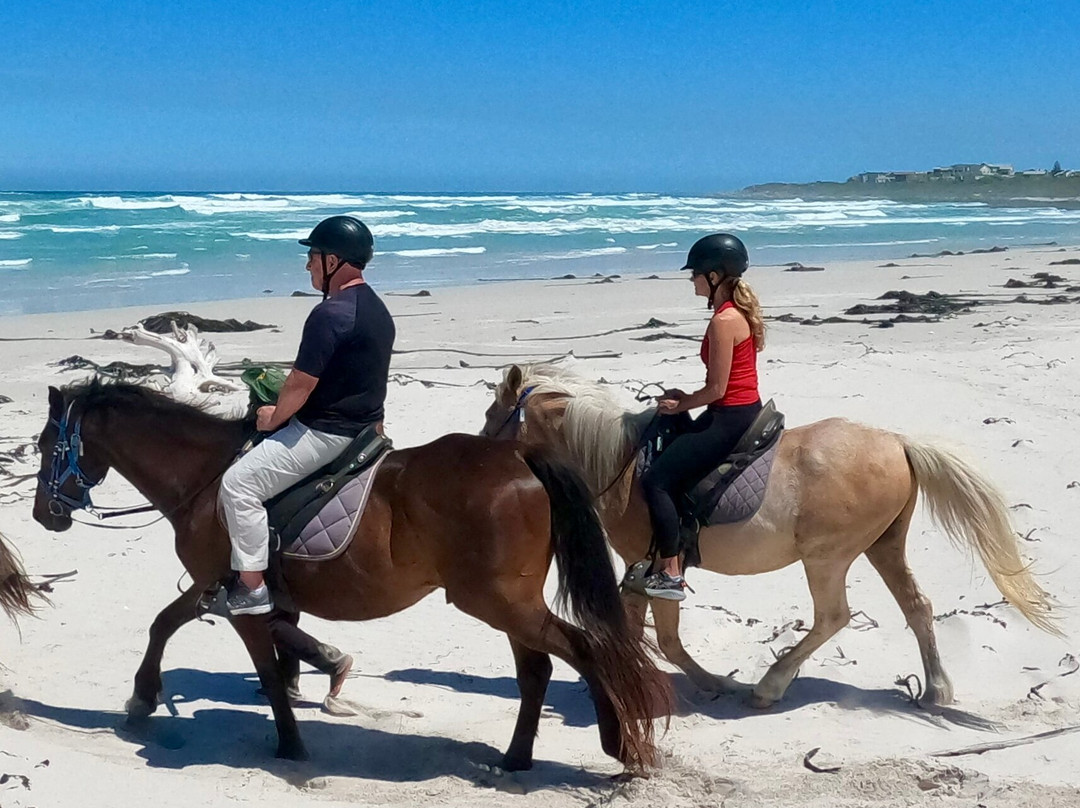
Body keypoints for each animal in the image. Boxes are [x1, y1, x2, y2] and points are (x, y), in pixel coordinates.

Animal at [32, 378, 670, 772]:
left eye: (43, 446)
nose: (44, 515)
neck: (208, 477)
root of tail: (519, 456)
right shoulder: (232, 590)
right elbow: (193, 627)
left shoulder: (232, 591)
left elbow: (256, 665)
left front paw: (288, 743)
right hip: (511, 603)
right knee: (537, 670)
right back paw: (516, 758)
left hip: (498, 602)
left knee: (584, 649)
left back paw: (616, 743)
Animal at [481, 363, 1059, 709]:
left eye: (492, 414)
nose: (478, 451)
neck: (624, 465)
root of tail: (897, 441)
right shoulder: (640, 567)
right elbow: (649, 633)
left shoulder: (650, 566)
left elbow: (663, 638)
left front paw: (711, 683)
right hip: (883, 546)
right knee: (917, 607)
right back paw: (937, 688)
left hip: (827, 557)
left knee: (834, 617)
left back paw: (769, 685)